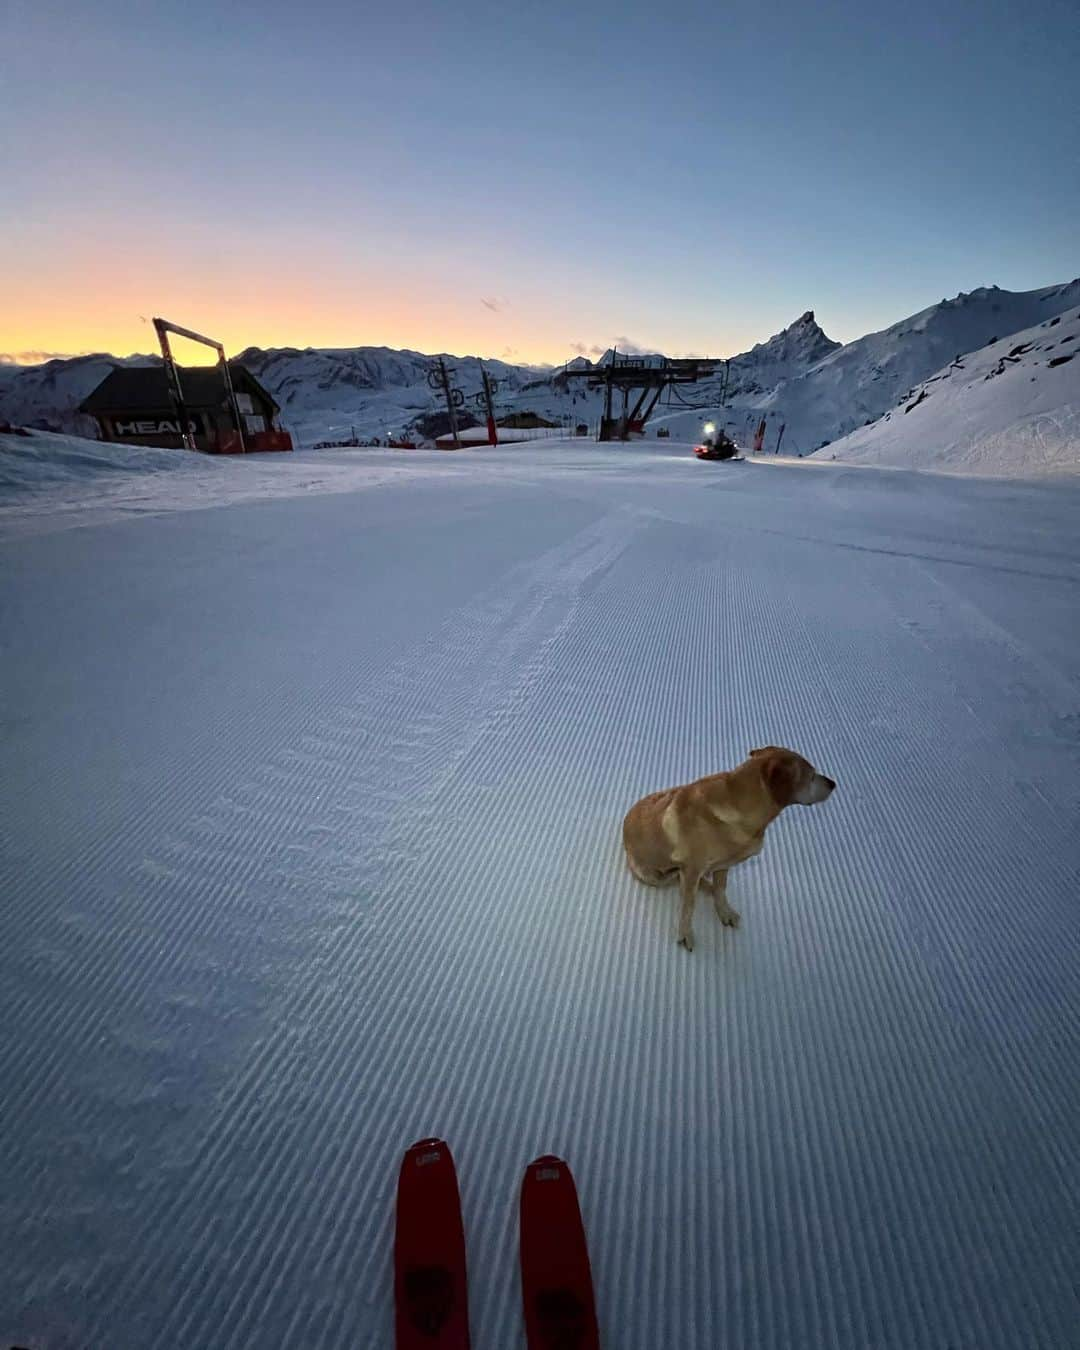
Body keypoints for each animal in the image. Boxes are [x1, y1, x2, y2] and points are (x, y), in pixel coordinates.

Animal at [621, 750, 837, 950]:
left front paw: (725, 913)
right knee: (676, 879)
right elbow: (688, 907)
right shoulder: (692, 870)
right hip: (654, 876)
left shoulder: (723, 866)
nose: (834, 783)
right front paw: (685, 934)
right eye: (811, 775)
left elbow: (720, 890)